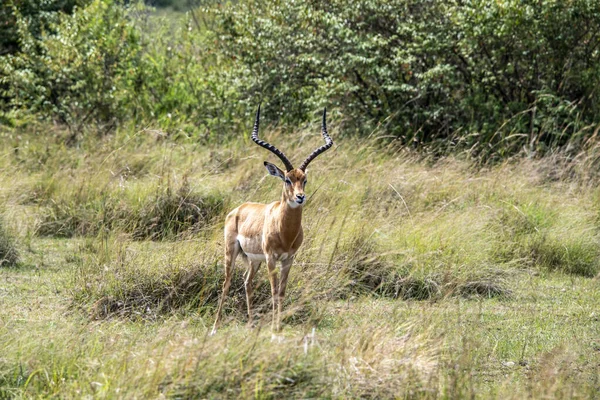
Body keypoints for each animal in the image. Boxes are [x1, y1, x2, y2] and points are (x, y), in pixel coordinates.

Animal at [211, 104, 332, 332]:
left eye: (304, 180)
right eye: (287, 179)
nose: (300, 197)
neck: (285, 231)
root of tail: (238, 209)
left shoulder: (288, 259)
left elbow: (282, 292)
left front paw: (278, 326)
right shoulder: (271, 258)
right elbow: (274, 292)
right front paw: (275, 328)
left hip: (253, 260)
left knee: (247, 281)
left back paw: (250, 324)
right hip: (231, 252)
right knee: (226, 283)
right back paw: (215, 327)